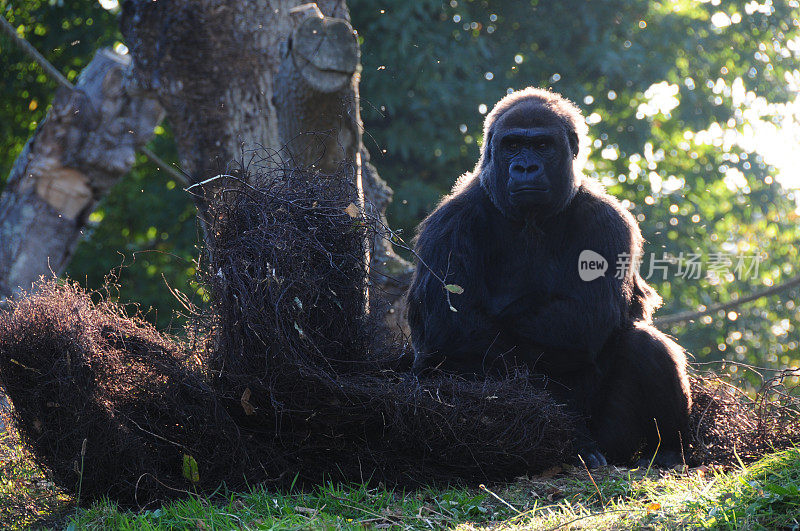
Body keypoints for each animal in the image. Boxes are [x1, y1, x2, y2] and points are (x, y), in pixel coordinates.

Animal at [406, 88, 692, 470]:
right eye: (512, 145)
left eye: (542, 145)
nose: (525, 167)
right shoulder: (448, 225)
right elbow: (452, 326)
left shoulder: (608, 221)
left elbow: (586, 317)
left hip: (614, 441)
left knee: (645, 345)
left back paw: (668, 449)